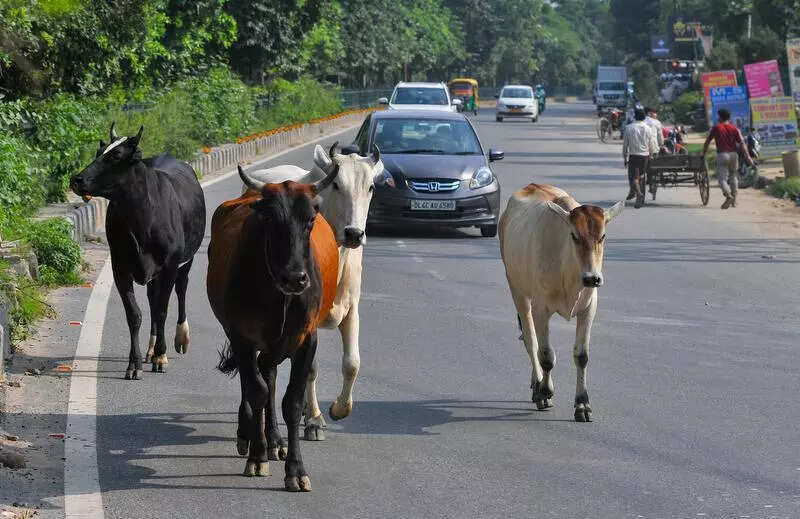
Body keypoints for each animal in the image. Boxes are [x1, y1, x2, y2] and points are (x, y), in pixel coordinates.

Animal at [70, 123, 206, 380]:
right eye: (99, 151)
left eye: (116, 155)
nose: (76, 178)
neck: (141, 220)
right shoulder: (120, 267)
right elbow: (135, 314)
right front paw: (134, 363)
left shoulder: (170, 265)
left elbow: (162, 311)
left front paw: (161, 357)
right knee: (153, 299)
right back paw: (150, 350)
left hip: (187, 259)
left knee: (181, 289)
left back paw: (179, 338)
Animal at [207, 165, 339, 492]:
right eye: (270, 219)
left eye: (310, 219)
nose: (295, 277)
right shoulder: (241, 336)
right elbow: (256, 390)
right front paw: (256, 457)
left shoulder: (306, 339)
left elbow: (291, 401)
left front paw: (296, 469)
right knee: (258, 381)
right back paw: (250, 435)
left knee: (270, 376)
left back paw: (275, 440)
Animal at [242, 142, 385, 441]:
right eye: (337, 185)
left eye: (370, 187)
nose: (354, 233)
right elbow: (311, 369)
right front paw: (315, 420)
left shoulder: (352, 308)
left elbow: (352, 363)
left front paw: (339, 409)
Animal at [499, 183, 622, 422]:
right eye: (574, 236)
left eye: (602, 236)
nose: (592, 278)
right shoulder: (541, 309)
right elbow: (546, 355)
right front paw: (545, 392)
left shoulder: (589, 309)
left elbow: (581, 356)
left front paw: (582, 405)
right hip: (518, 291)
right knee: (531, 341)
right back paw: (538, 386)